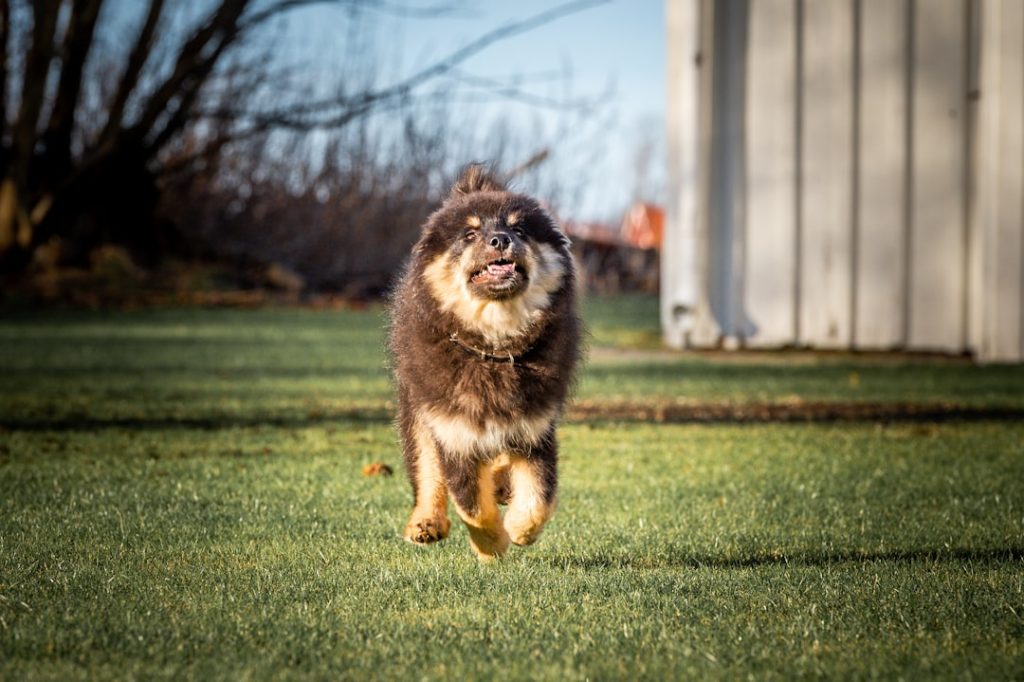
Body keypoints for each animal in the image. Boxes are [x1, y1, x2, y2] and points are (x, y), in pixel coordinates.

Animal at [387, 163, 581, 557]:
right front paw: (491, 545)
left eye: (519, 229)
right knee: (427, 470)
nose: (500, 240)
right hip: (417, 411)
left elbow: (540, 496)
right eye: (470, 234)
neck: (494, 350)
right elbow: (470, 503)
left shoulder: (534, 427)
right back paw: (425, 523)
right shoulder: (453, 431)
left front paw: (520, 529)